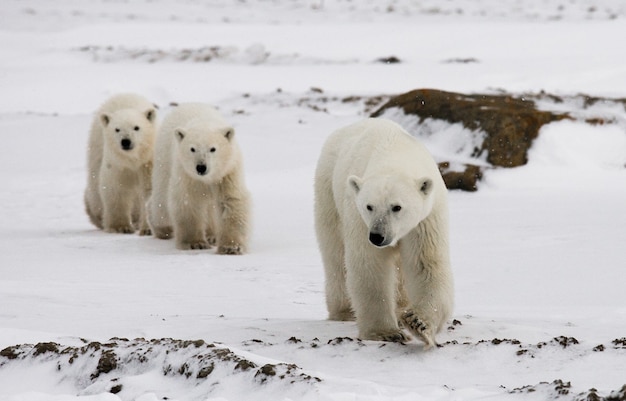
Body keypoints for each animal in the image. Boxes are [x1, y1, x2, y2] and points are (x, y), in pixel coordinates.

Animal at [84, 92, 156, 233]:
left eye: (136, 127)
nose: (126, 141)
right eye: (117, 129)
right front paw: (121, 227)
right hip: (96, 151)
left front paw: (147, 229)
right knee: (95, 193)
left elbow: (148, 189)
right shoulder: (117, 163)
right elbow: (116, 188)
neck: (132, 159)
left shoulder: (147, 162)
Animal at [147, 103, 250, 253]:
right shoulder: (186, 174)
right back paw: (162, 229)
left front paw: (231, 247)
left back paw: (212, 235)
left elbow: (230, 200)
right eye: (192, 149)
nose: (201, 167)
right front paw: (195, 243)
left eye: (213, 149)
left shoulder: (227, 172)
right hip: (164, 159)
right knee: (162, 201)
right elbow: (188, 201)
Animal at [312, 116, 454, 346]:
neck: (394, 153)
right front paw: (386, 332)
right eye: (369, 206)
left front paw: (418, 323)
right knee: (335, 254)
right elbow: (370, 265)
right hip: (328, 194)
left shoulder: (425, 219)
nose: (377, 236)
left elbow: (426, 263)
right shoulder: (359, 218)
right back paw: (344, 311)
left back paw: (401, 307)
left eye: (397, 207)